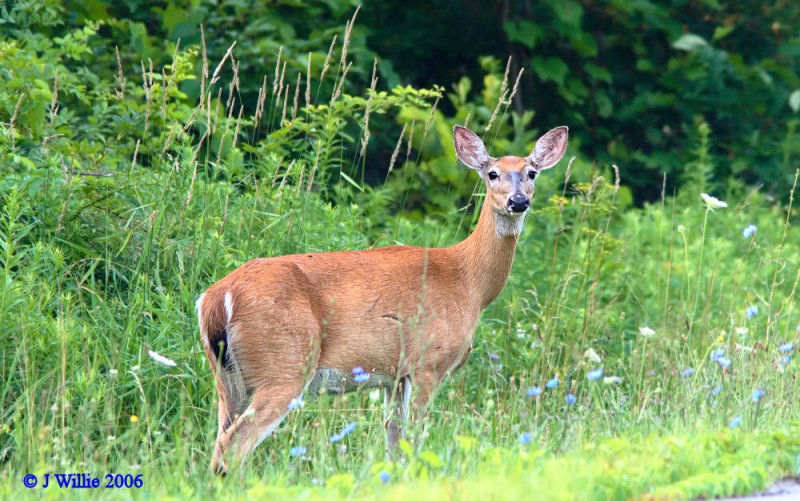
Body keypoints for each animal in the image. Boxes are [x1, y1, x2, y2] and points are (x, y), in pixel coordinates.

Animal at [195, 123, 568, 470]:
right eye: (492, 174)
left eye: (531, 173)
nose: (518, 201)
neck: (469, 282)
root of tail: (215, 298)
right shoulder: (427, 361)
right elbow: (414, 438)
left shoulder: (394, 376)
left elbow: (393, 442)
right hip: (284, 363)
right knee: (233, 445)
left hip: (227, 377)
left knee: (220, 439)